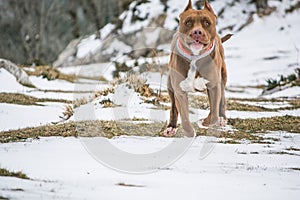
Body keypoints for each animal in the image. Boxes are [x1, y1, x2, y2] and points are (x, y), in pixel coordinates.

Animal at [163, 0, 231, 138]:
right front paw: (190, 132)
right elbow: (184, 115)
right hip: (170, 85)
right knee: (173, 107)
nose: (197, 32)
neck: (194, 57)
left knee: (222, 99)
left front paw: (204, 122)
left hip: (222, 77)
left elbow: (214, 112)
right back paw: (171, 128)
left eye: (207, 23)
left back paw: (222, 118)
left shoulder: (214, 87)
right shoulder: (179, 91)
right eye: (188, 22)